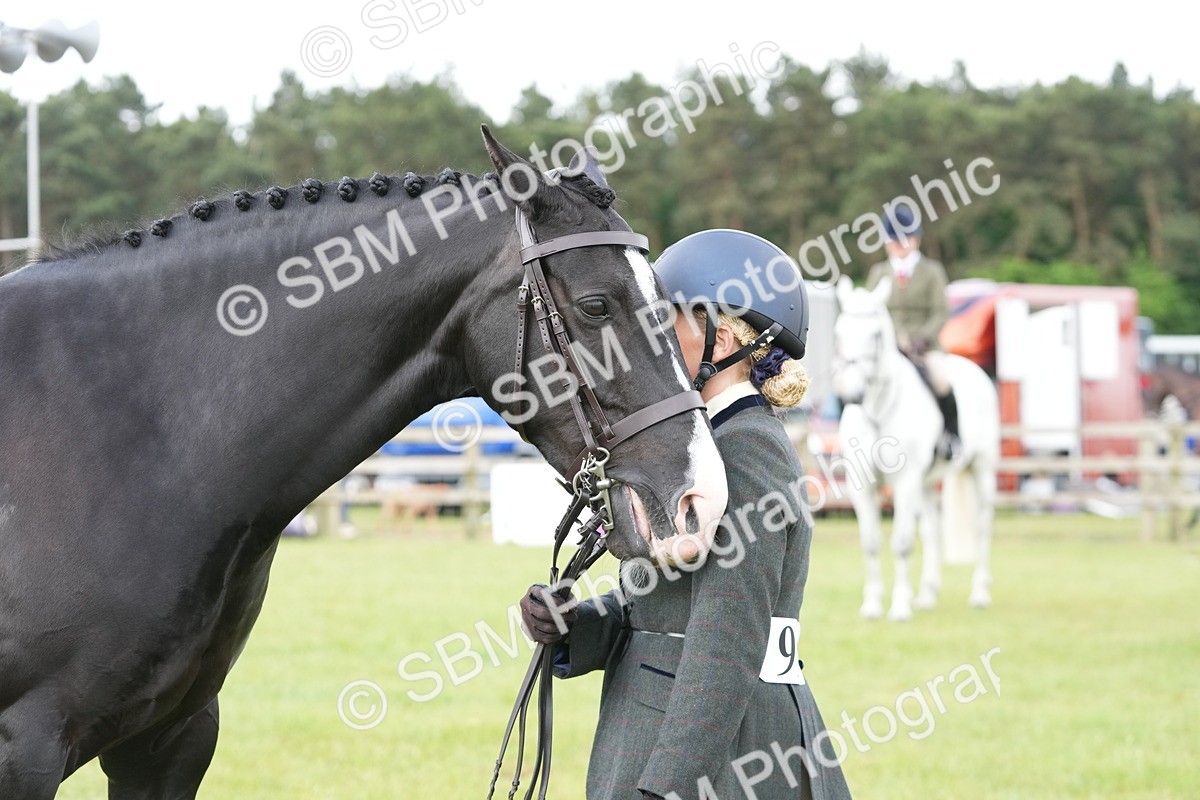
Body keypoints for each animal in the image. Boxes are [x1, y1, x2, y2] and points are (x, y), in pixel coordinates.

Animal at [831, 276, 999, 621]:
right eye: (839, 332)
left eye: (876, 334)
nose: (852, 395)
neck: (878, 410)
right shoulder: (862, 486)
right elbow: (871, 542)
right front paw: (872, 606)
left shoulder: (905, 482)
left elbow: (902, 542)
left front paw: (898, 607)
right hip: (926, 484)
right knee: (933, 530)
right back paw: (927, 596)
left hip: (982, 470)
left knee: (982, 527)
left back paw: (979, 594)